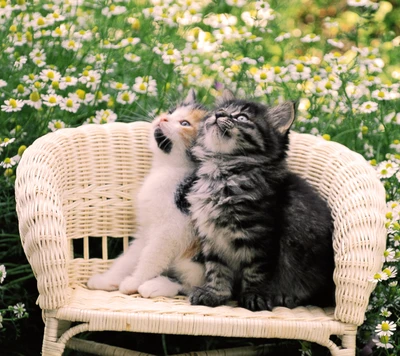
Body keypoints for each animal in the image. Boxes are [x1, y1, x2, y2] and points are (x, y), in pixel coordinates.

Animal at [88, 89, 206, 298]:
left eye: (185, 124)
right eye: (171, 111)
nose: (163, 118)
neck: (167, 168)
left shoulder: (171, 230)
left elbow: (151, 257)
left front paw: (134, 281)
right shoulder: (146, 230)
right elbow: (129, 257)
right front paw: (107, 279)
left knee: (191, 285)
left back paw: (155, 285)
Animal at [184, 90, 334, 310]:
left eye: (242, 118)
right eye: (220, 110)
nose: (219, 115)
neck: (222, 173)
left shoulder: (261, 237)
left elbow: (256, 272)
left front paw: (255, 297)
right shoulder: (212, 238)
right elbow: (217, 270)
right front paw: (214, 294)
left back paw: (287, 297)